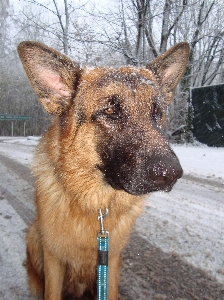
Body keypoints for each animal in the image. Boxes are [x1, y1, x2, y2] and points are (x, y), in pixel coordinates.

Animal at [18, 40, 189, 300]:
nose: (170, 173)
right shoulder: (53, 260)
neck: (94, 206)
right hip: (33, 240)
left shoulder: (112, 264)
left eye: (157, 113)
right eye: (110, 111)